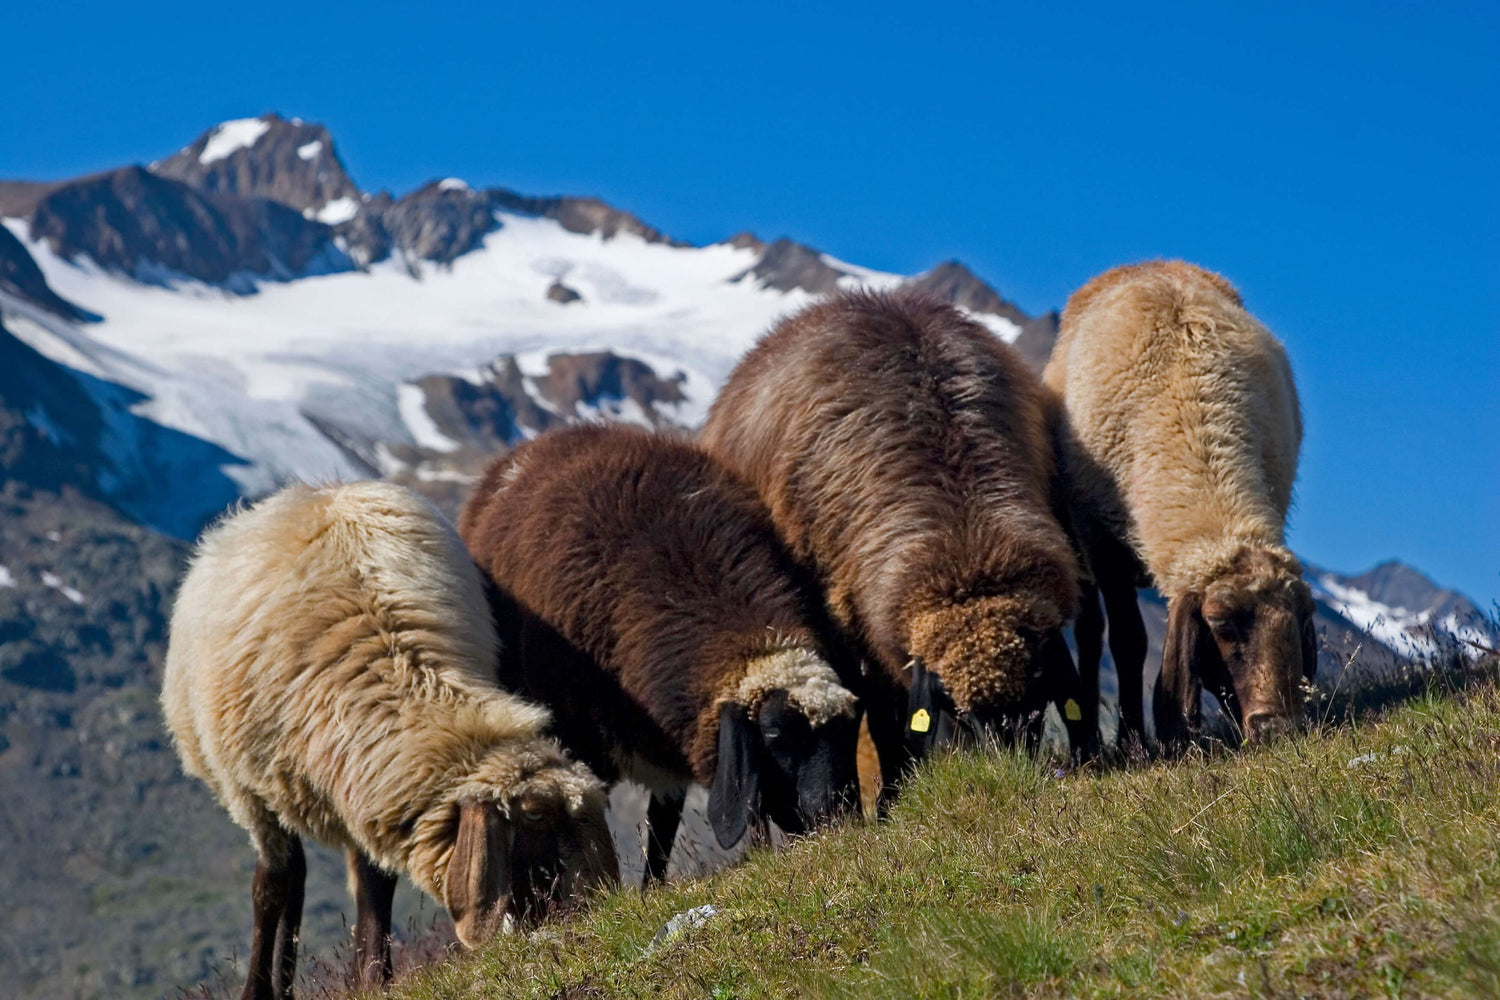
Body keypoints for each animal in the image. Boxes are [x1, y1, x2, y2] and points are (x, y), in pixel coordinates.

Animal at [159, 482, 615, 1000]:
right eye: (536, 815)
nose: (600, 912)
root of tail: (315, 488)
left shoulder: (371, 783)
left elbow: (374, 885)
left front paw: (375, 978)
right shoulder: (251, 794)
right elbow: (271, 888)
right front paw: (257, 991)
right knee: (287, 879)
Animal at [456, 425, 864, 881]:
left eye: (849, 727)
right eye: (774, 733)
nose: (836, 817)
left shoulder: (673, 755)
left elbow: (666, 829)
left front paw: (651, 887)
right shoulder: (579, 742)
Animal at [702, 284, 1092, 803]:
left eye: (1035, 697)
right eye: (954, 709)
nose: (1007, 776)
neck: (966, 536)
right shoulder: (856, 631)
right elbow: (884, 719)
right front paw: (895, 796)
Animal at [1044, 260, 1314, 749]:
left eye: (1302, 620)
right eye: (1222, 625)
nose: (1280, 729)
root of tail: (1141, 263)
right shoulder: (1103, 549)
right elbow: (1128, 643)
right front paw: (1132, 741)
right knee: (1090, 635)